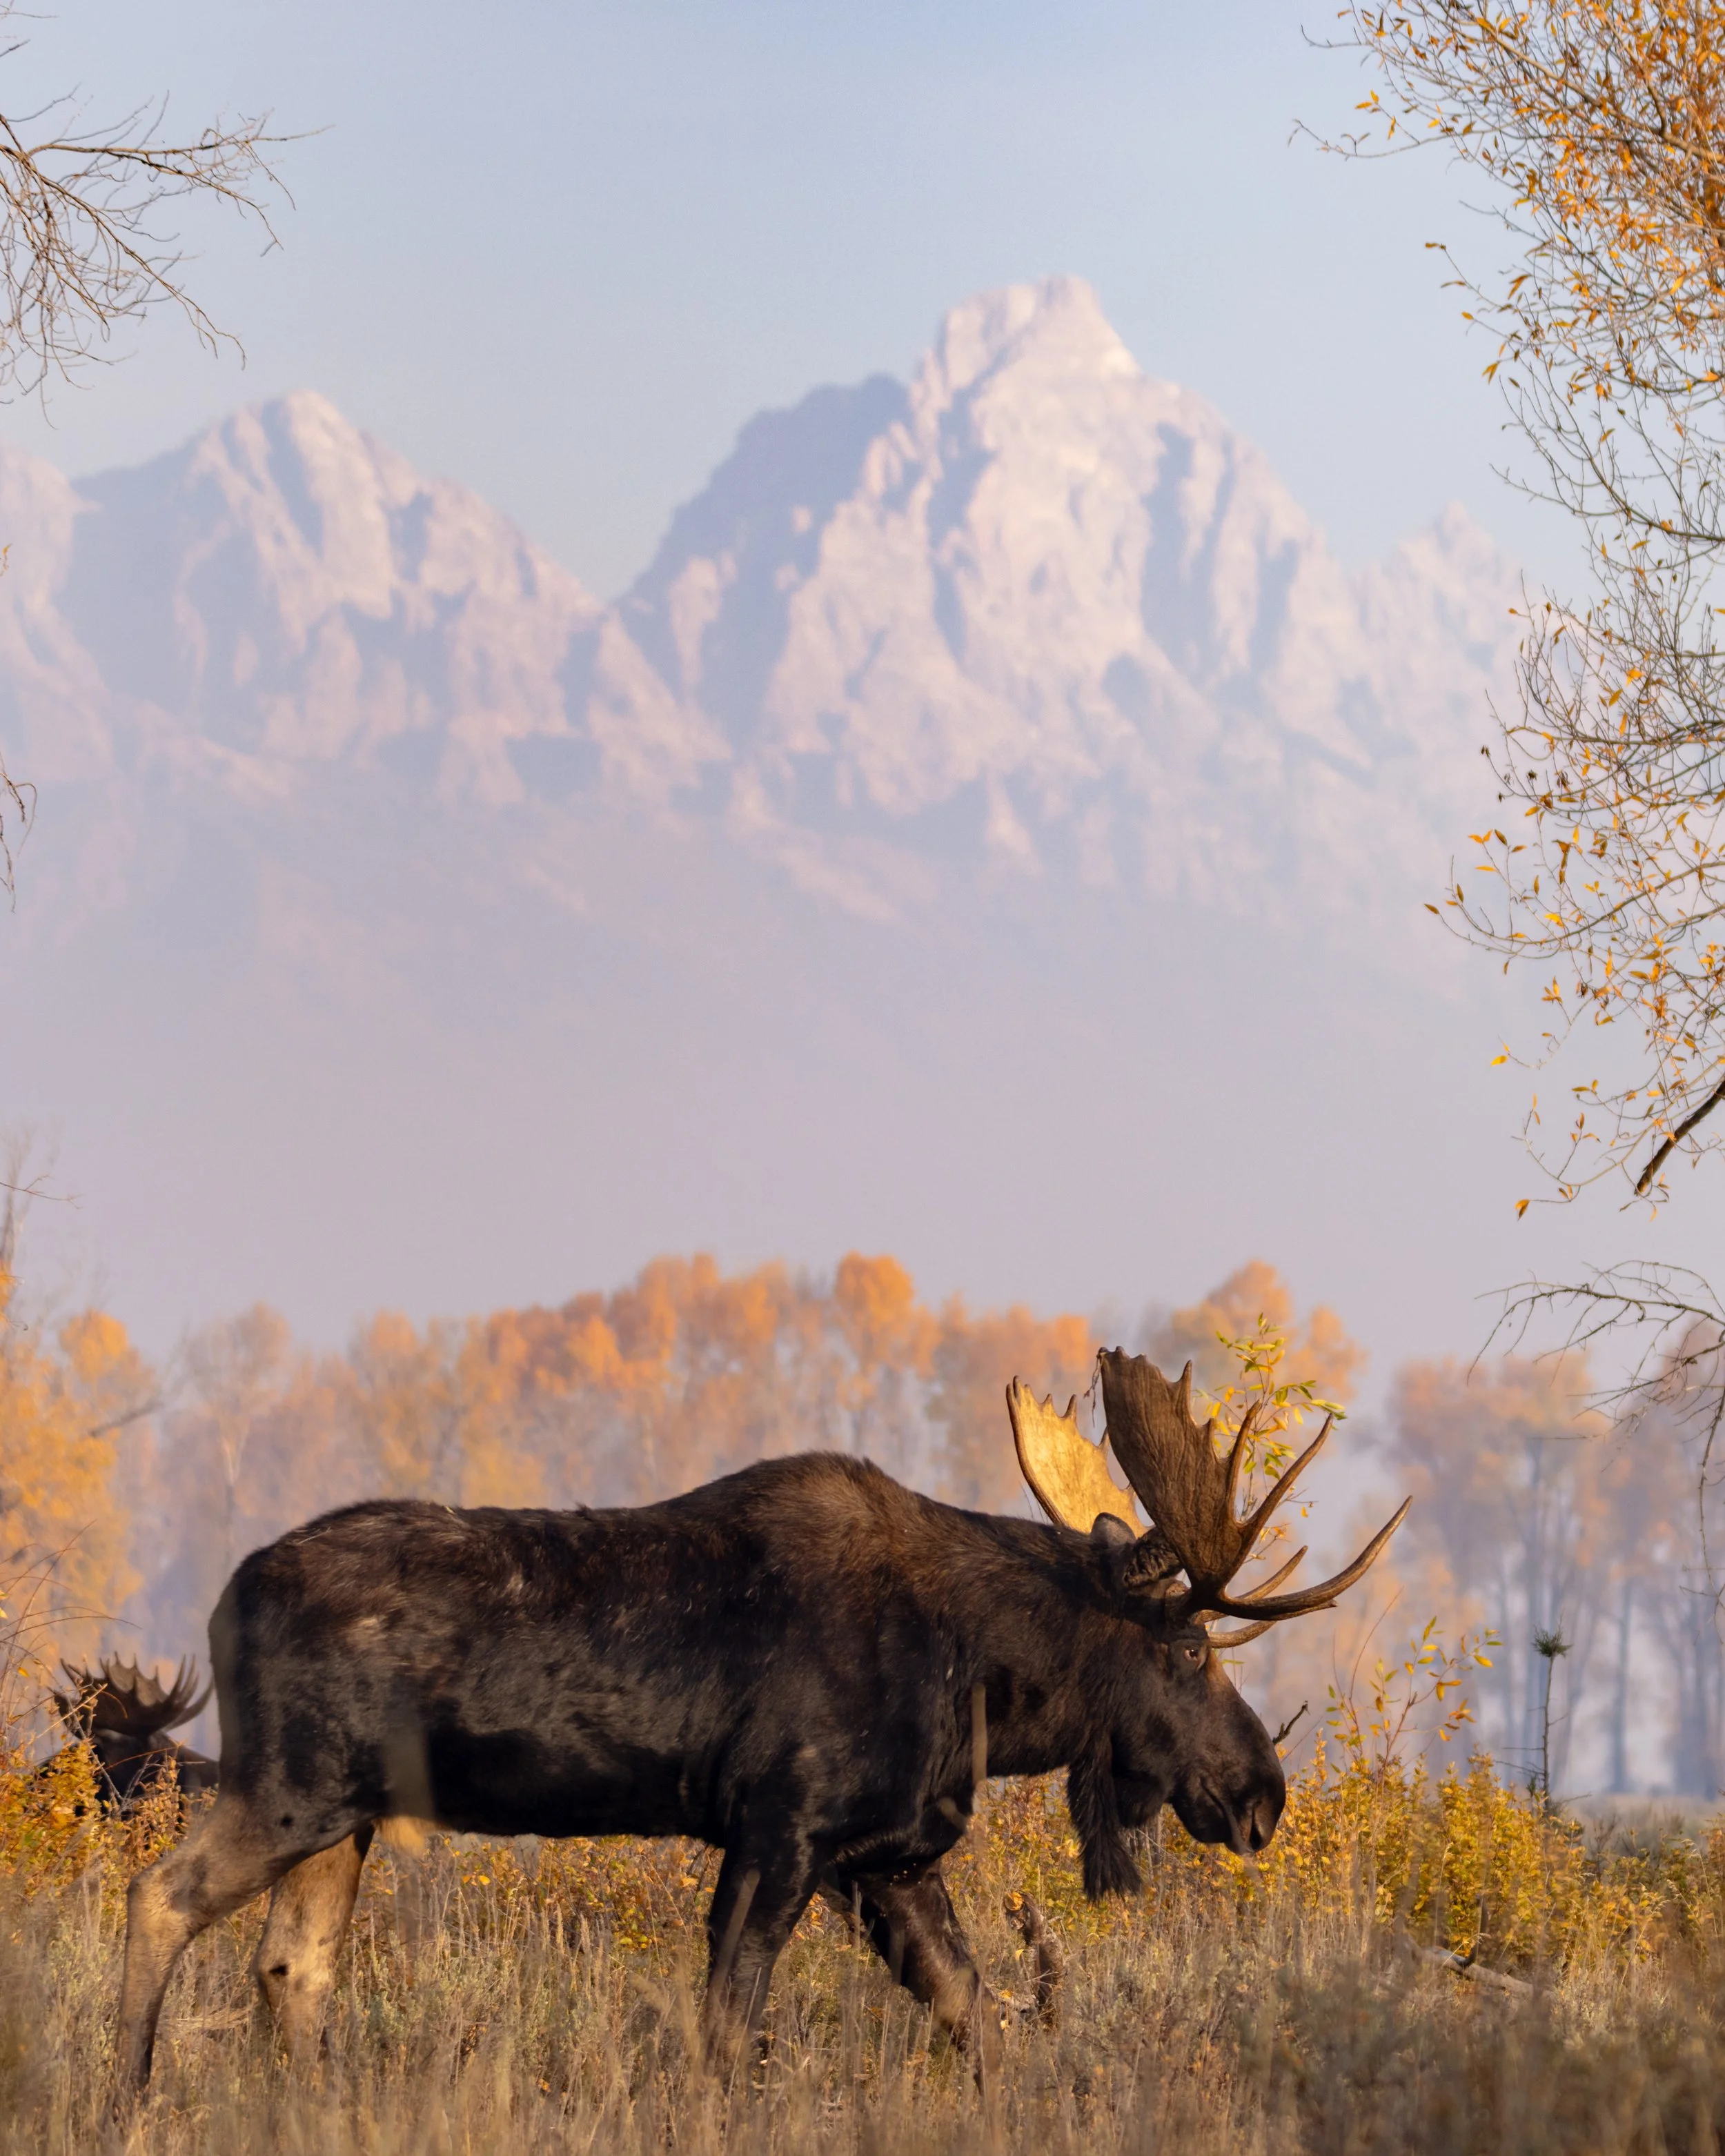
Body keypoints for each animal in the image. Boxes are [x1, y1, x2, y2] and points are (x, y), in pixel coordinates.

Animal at [115, 1350, 1406, 2094]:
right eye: (1189, 1650)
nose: (1261, 1796)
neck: (983, 1678)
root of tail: (224, 1595)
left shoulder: (886, 1858)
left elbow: (972, 2015)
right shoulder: (781, 1830)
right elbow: (728, 2039)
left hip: (347, 1817)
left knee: (292, 1969)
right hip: (286, 1786)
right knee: (159, 1896)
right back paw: (122, 2098)